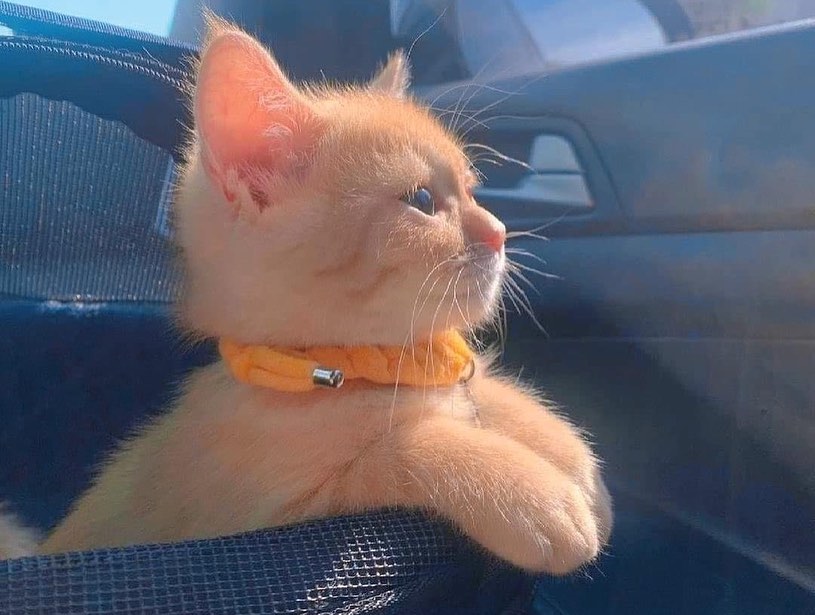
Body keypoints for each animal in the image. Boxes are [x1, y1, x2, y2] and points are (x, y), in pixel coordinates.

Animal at [11, 18, 612, 574]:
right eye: (421, 200)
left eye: (471, 190)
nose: (499, 231)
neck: (351, 369)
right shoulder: (274, 523)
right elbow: (397, 451)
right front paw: (528, 491)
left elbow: (478, 385)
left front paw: (567, 453)